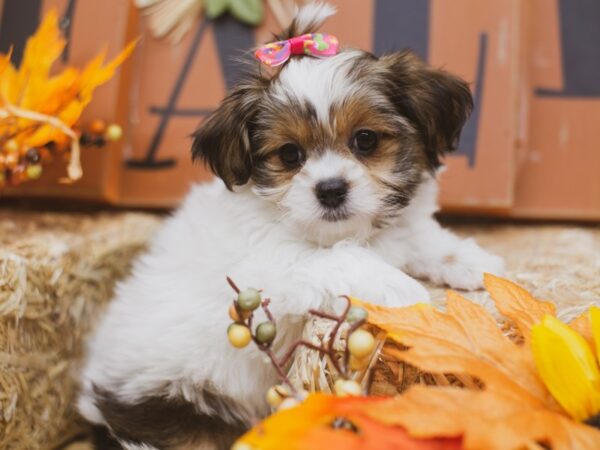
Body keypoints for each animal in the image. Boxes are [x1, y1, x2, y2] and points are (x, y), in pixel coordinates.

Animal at [77, 2, 504, 446]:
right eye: (289, 154)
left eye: (366, 140)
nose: (330, 189)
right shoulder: (263, 271)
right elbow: (335, 259)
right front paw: (400, 288)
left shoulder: (399, 228)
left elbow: (418, 236)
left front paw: (469, 261)